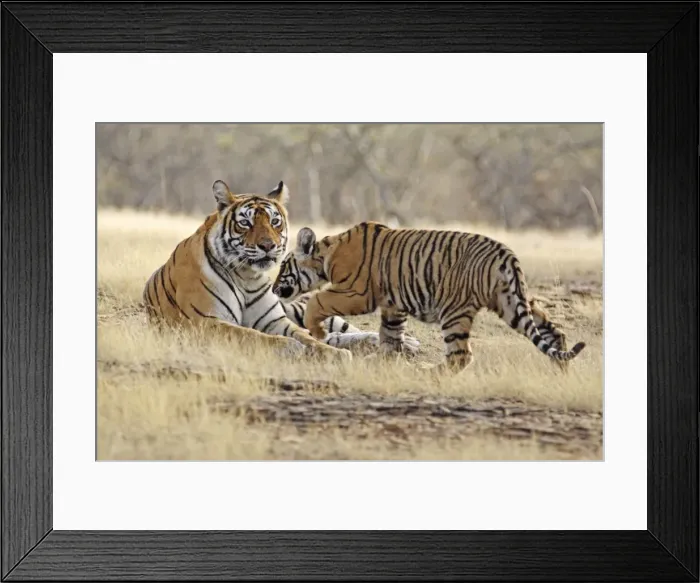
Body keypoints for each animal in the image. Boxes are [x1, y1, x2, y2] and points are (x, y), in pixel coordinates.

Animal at [142, 180, 392, 361]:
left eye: (274, 222)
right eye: (246, 223)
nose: (268, 245)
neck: (246, 276)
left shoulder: (275, 320)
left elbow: (307, 337)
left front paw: (335, 354)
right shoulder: (204, 321)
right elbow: (251, 335)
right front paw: (290, 346)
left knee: (334, 330)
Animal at [272, 221, 585, 374]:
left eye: (283, 267)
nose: (273, 289)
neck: (327, 254)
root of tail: (505, 254)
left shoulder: (357, 293)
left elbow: (317, 301)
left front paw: (317, 331)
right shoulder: (393, 305)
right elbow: (390, 337)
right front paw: (382, 361)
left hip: (454, 311)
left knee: (461, 356)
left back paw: (426, 372)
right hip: (512, 304)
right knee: (555, 334)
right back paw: (561, 372)